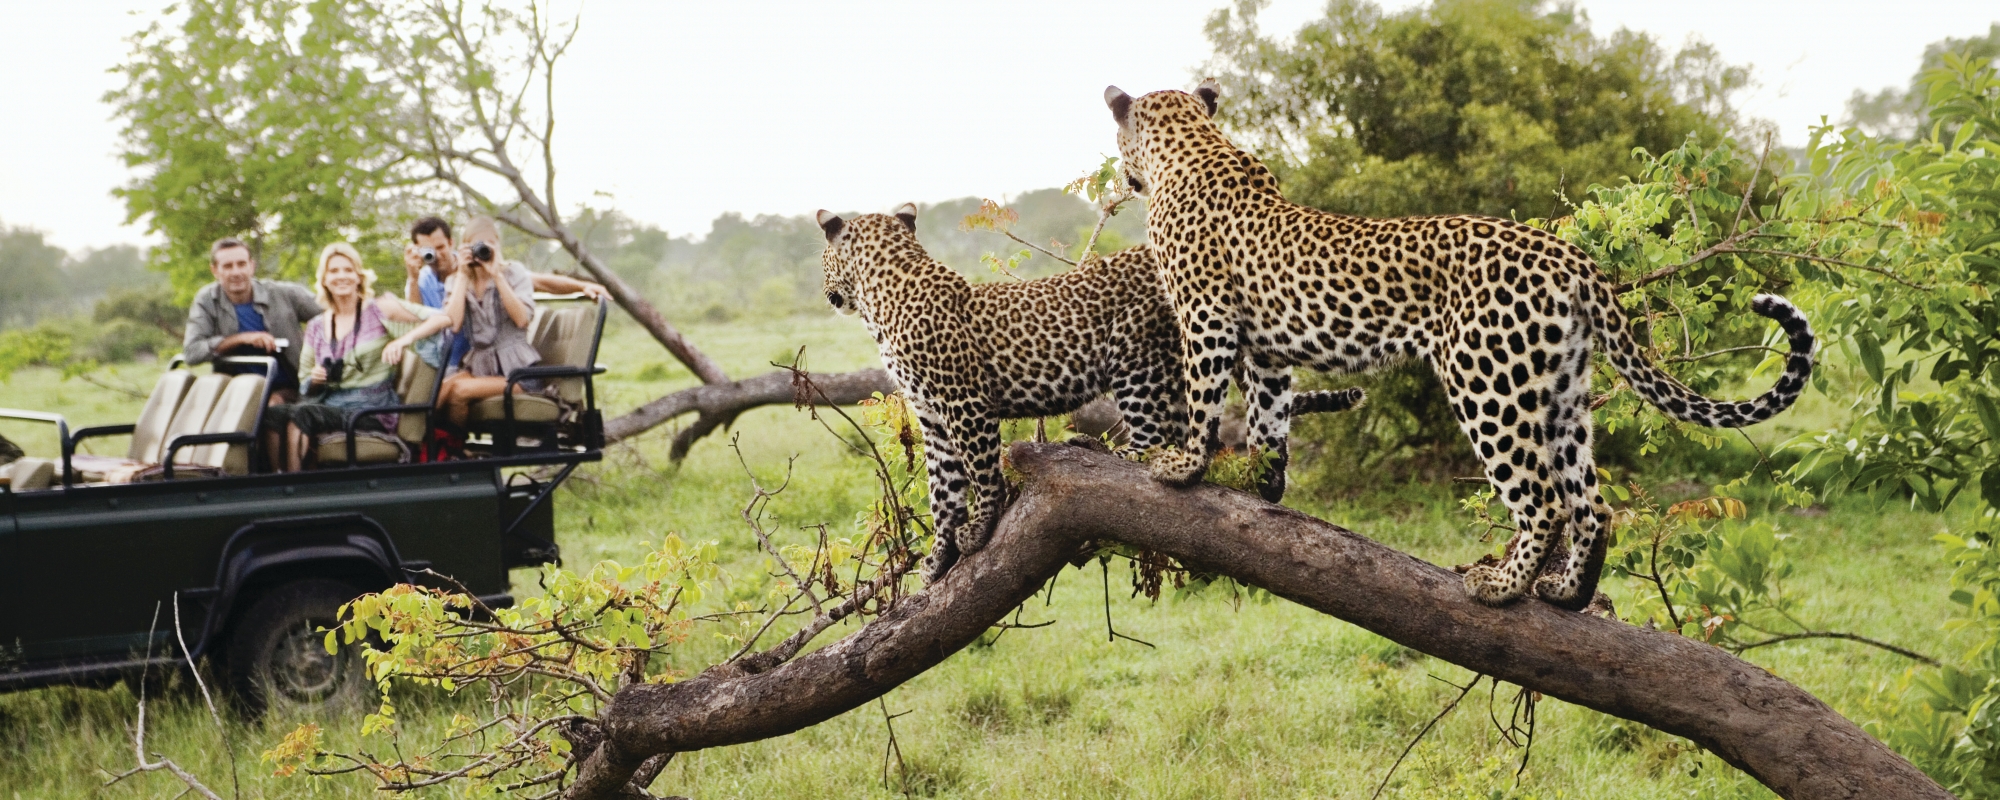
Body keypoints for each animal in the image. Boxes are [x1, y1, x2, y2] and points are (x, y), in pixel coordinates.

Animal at [820, 206, 1368, 580]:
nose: (828, 294)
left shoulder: (966, 406)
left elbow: (981, 474)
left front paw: (978, 530)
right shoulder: (933, 419)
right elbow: (943, 492)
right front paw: (938, 558)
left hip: (1136, 354)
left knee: (1156, 438)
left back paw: (1105, 450)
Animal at [1104, 79, 1824, 608]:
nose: (1123, 174)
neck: (1193, 145)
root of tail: (1572, 257)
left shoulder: (1206, 317)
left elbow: (1204, 399)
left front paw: (1183, 467)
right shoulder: (1269, 350)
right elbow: (1269, 417)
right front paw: (1262, 485)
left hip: (1487, 382)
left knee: (1543, 499)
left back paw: (1502, 587)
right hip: (1562, 391)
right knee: (1592, 503)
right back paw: (1566, 593)